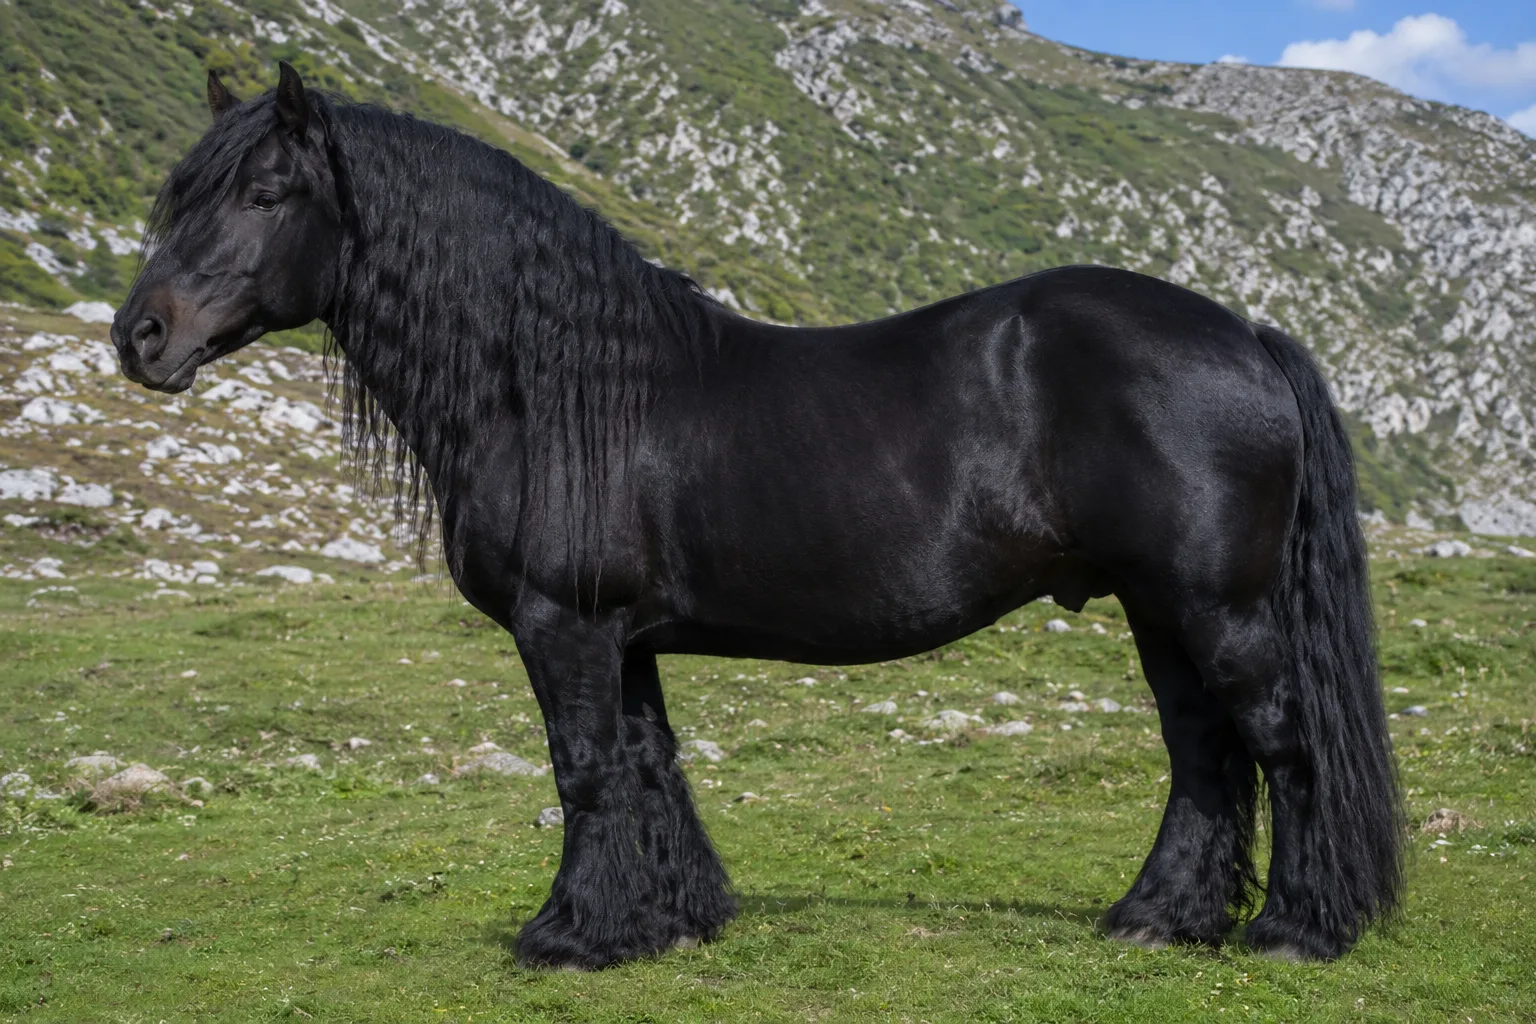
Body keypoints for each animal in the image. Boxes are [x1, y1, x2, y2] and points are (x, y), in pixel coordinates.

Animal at [112, 63, 1403, 969]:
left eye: (266, 193)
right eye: (178, 191)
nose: (140, 337)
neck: (557, 387)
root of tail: (1243, 333)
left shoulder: (563, 627)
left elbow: (584, 770)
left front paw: (568, 936)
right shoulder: (620, 638)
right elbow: (649, 765)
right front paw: (667, 921)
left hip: (1217, 607)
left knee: (1282, 745)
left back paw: (1296, 929)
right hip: (1156, 608)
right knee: (1203, 756)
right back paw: (1157, 917)